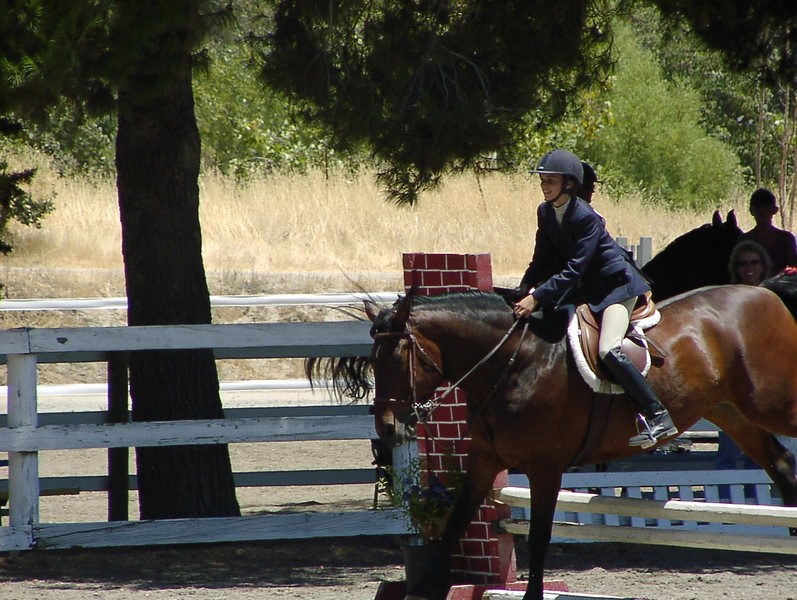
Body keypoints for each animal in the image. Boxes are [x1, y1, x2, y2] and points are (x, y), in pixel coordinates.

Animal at [319, 282, 797, 600]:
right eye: (372, 361)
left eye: (397, 358)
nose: (387, 429)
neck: (513, 363)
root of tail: (765, 292)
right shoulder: (484, 462)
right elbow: (454, 526)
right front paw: (424, 588)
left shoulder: (545, 468)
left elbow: (540, 537)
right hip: (730, 413)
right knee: (780, 464)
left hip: (769, 402)